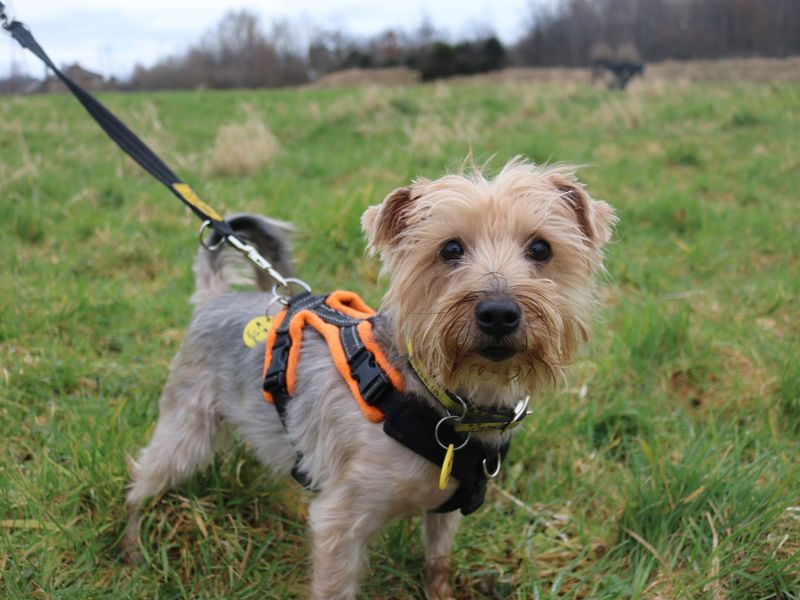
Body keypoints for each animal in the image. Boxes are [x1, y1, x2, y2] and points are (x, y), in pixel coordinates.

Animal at [123, 157, 612, 596]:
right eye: (450, 249)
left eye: (541, 249)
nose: (498, 312)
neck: (442, 401)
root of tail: (215, 299)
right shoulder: (340, 521)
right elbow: (335, 584)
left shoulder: (444, 511)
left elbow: (437, 562)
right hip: (185, 426)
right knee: (145, 477)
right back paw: (131, 545)